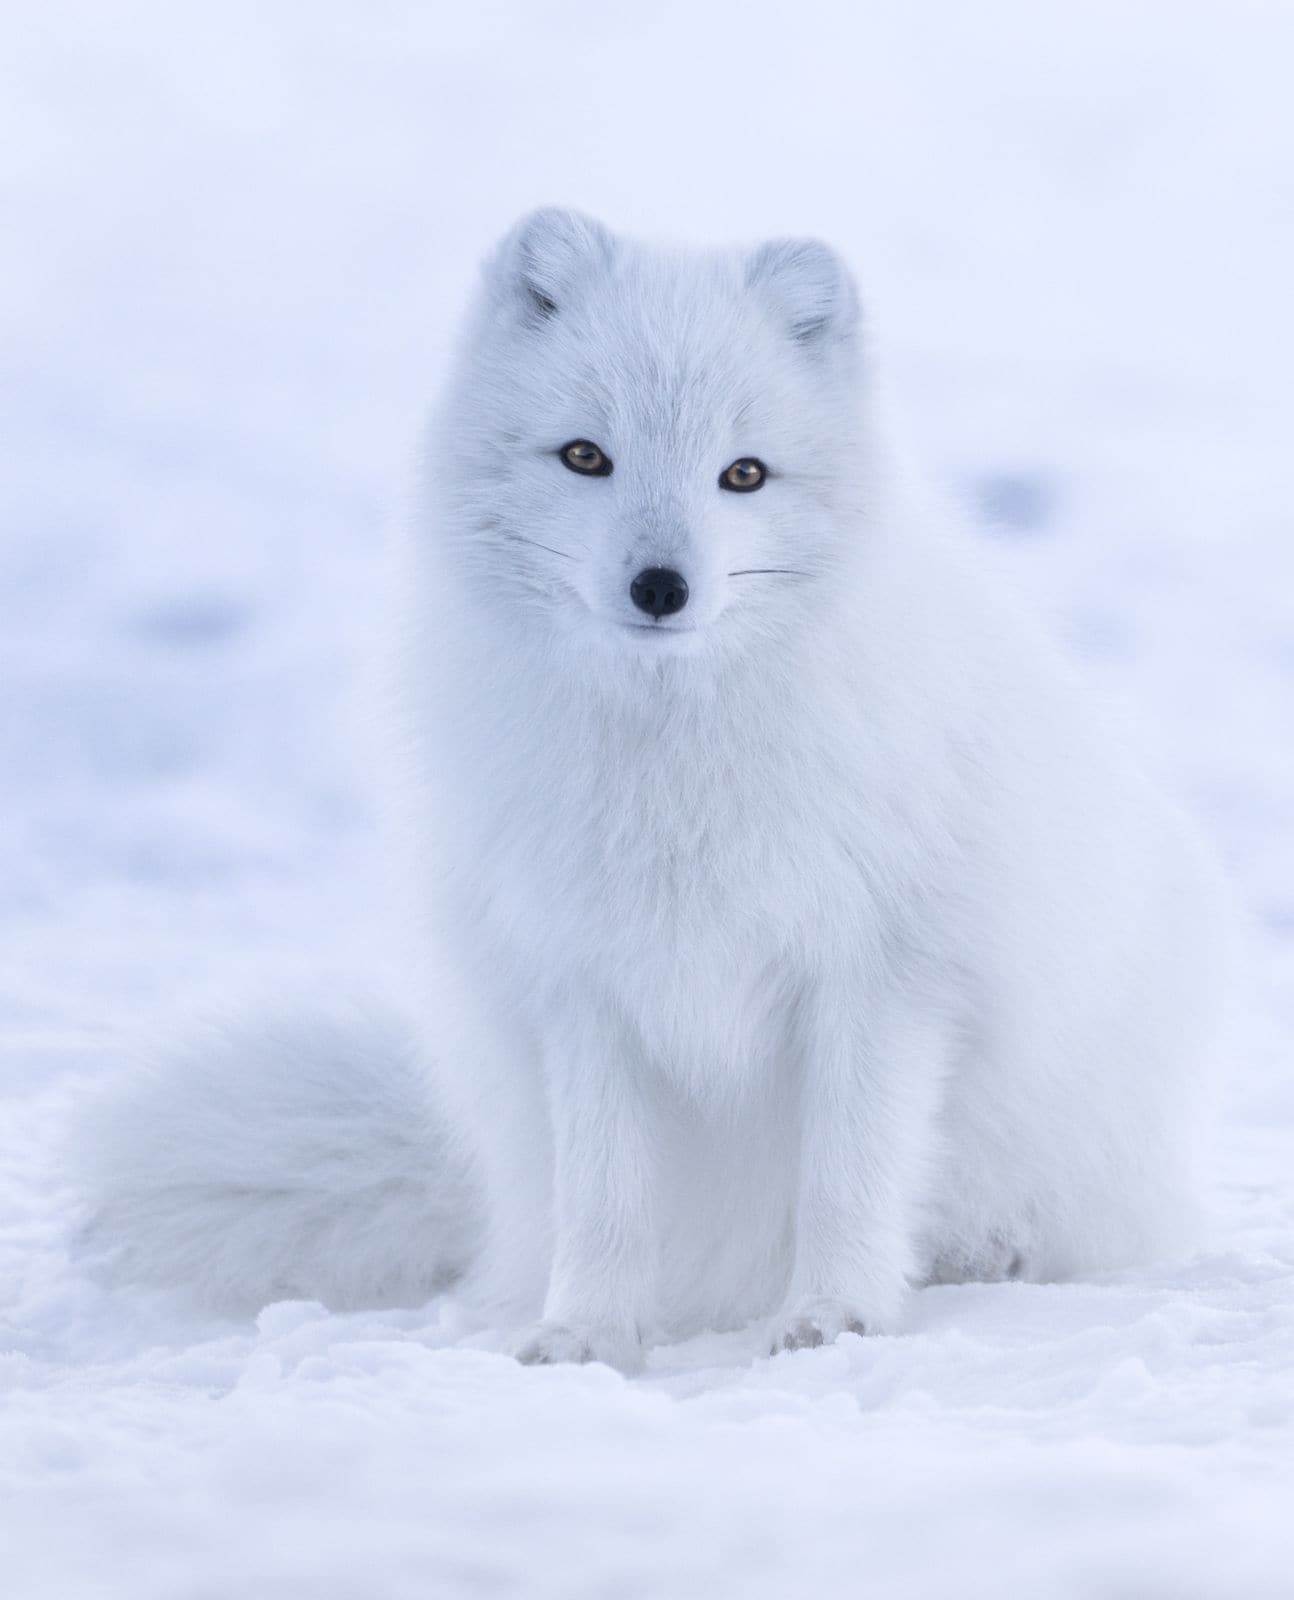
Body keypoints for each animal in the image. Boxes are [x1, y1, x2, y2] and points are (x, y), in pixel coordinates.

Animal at [78, 206, 1222, 1369]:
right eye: (587, 456)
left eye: (744, 475)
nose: (660, 587)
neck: (672, 764)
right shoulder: (581, 983)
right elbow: (605, 1198)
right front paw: (585, 1331)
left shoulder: (883, 973)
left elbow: (848, 1176)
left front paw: (834, 1316)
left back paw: (988, 1250)